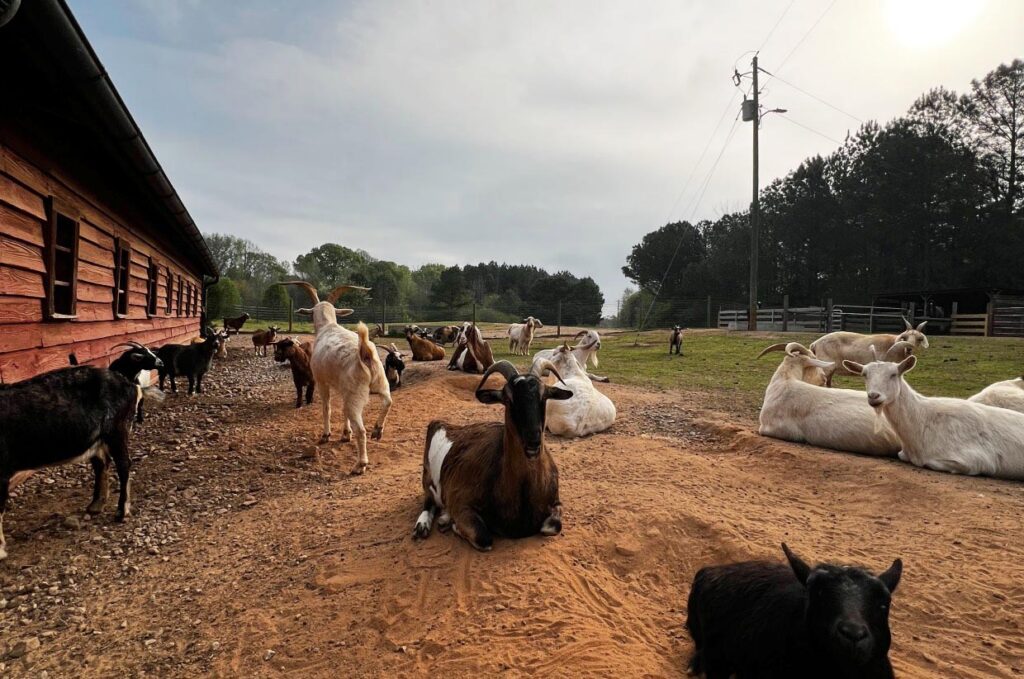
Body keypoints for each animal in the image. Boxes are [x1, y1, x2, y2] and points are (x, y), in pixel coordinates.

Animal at [0, 366, 162, 559]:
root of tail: (131, 385)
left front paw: (0, 551)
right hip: (98, 439)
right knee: (102, 463)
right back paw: (95, 506)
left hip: (117, 430)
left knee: (123, 465)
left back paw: (121, 511)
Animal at [279, 281, 392, 475]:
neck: (328, 326)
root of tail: (366, 354)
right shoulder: (341, 387)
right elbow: (342, 411)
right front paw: (346, 434)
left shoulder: (321, 381)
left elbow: (327, 407)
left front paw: (326, 435)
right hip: (380, 383)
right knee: (388, 401)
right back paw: (377, 430)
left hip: (355, 395)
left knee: (361, 429)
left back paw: (360, 465)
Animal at [412, 360, 572, 550]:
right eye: (508, 399)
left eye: (544, 396)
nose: (533, 441)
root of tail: (442, 424)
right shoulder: (461, 502)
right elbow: (483, 537)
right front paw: (454, 525)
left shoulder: (556, 502)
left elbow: (553, 526)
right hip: (428, 478)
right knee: (429, 500)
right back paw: (424, 525)